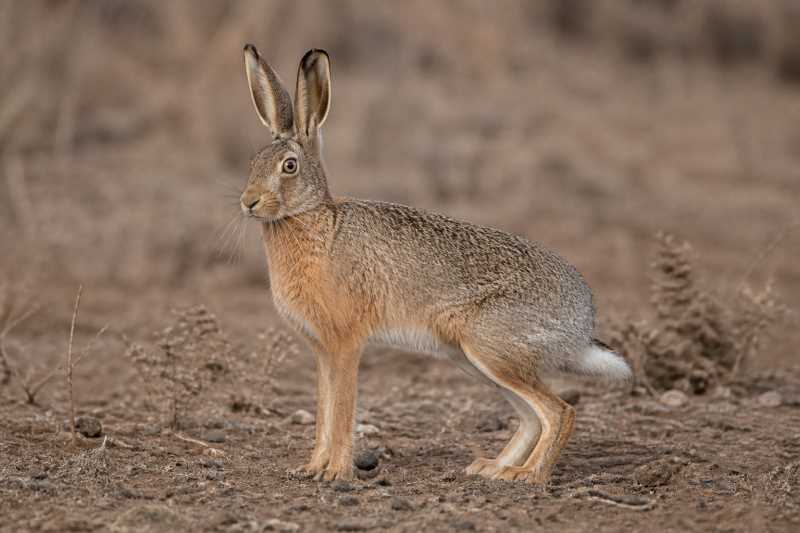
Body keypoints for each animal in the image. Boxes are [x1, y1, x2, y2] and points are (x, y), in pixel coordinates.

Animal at [240, 44, 632, 483]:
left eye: (289, 166)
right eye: (253, 161)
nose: (248, 202)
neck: (311, 218)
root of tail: (582, 324)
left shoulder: (345, 344)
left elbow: (340, 412)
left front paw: (336, 472)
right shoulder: (322, 351)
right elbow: (324, 411)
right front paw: (310, 467)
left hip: (491, 347)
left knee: (560, 411)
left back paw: (529, 476)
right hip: (474, 359)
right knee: (533, 416)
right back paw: (493, 468)